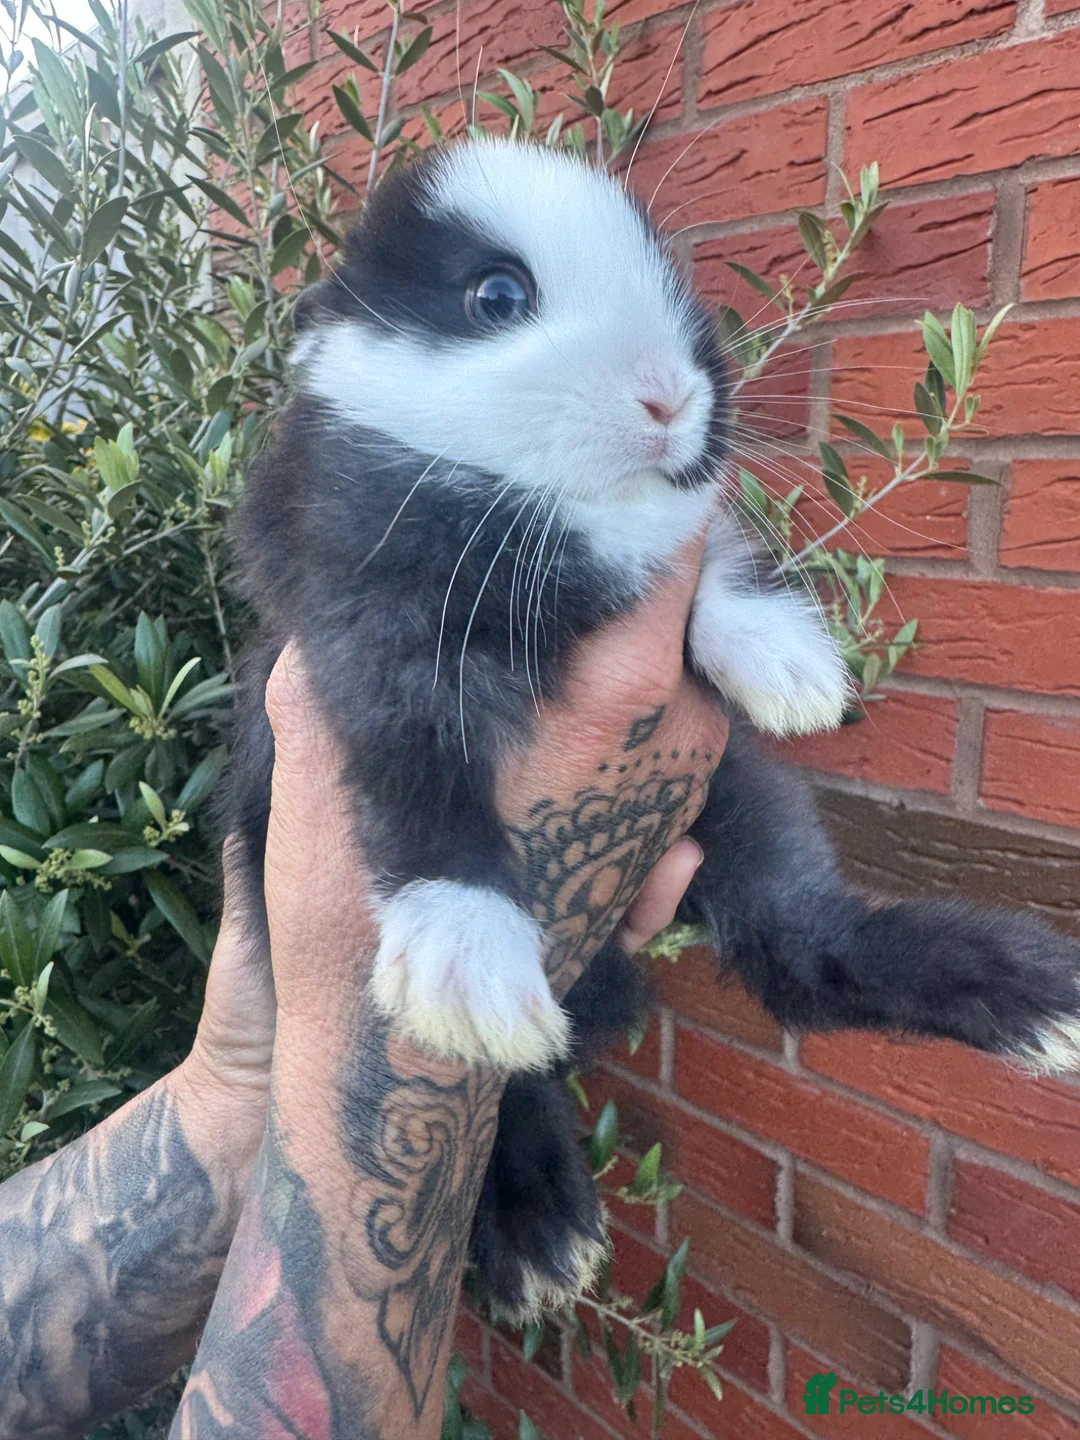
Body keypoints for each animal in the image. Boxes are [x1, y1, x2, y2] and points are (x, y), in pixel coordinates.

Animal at [226, 138, 1080, 1320]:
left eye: (668, 279)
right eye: (498, 298)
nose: (672, 397)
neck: (552, 506)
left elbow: (708, 577)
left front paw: (794, 672)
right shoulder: (370, 644)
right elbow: (420, 785)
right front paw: (467, 966)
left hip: (744, 810)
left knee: (801, 952)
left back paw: (1038, 1003)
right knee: (510, 1084)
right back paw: (538, 1233)